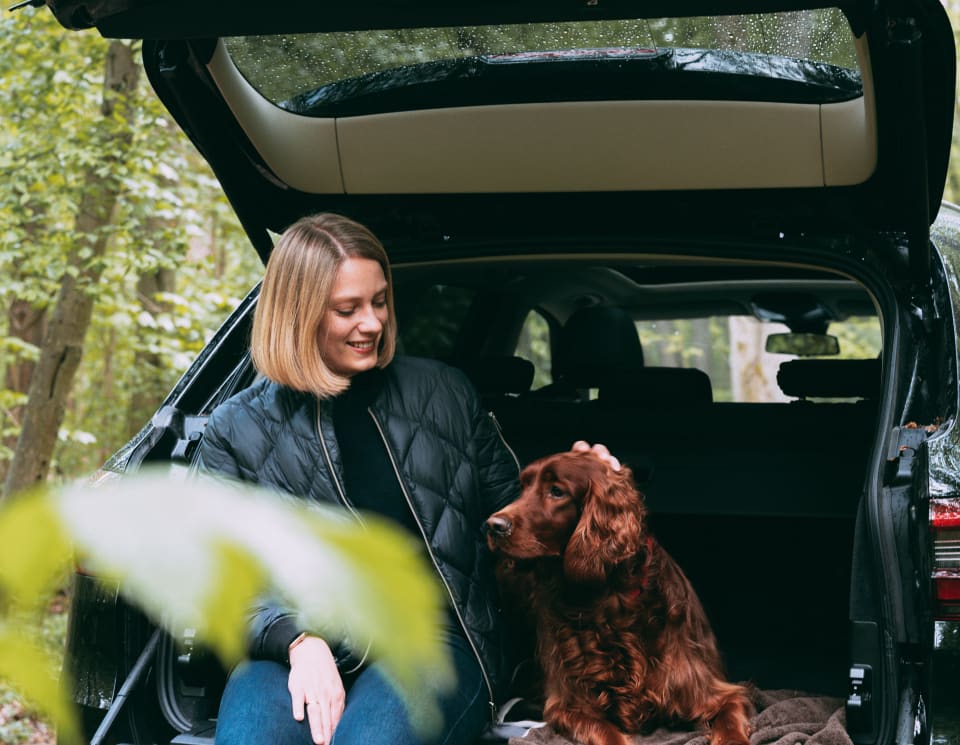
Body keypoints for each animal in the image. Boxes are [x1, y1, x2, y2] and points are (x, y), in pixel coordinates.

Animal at [488, 448, 752, 744]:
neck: (607, 600)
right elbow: (604, 731)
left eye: (556, 491)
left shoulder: (714, 691)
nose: (493, 525)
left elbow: (729, 717)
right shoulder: (570, 705)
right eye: (523, 487)